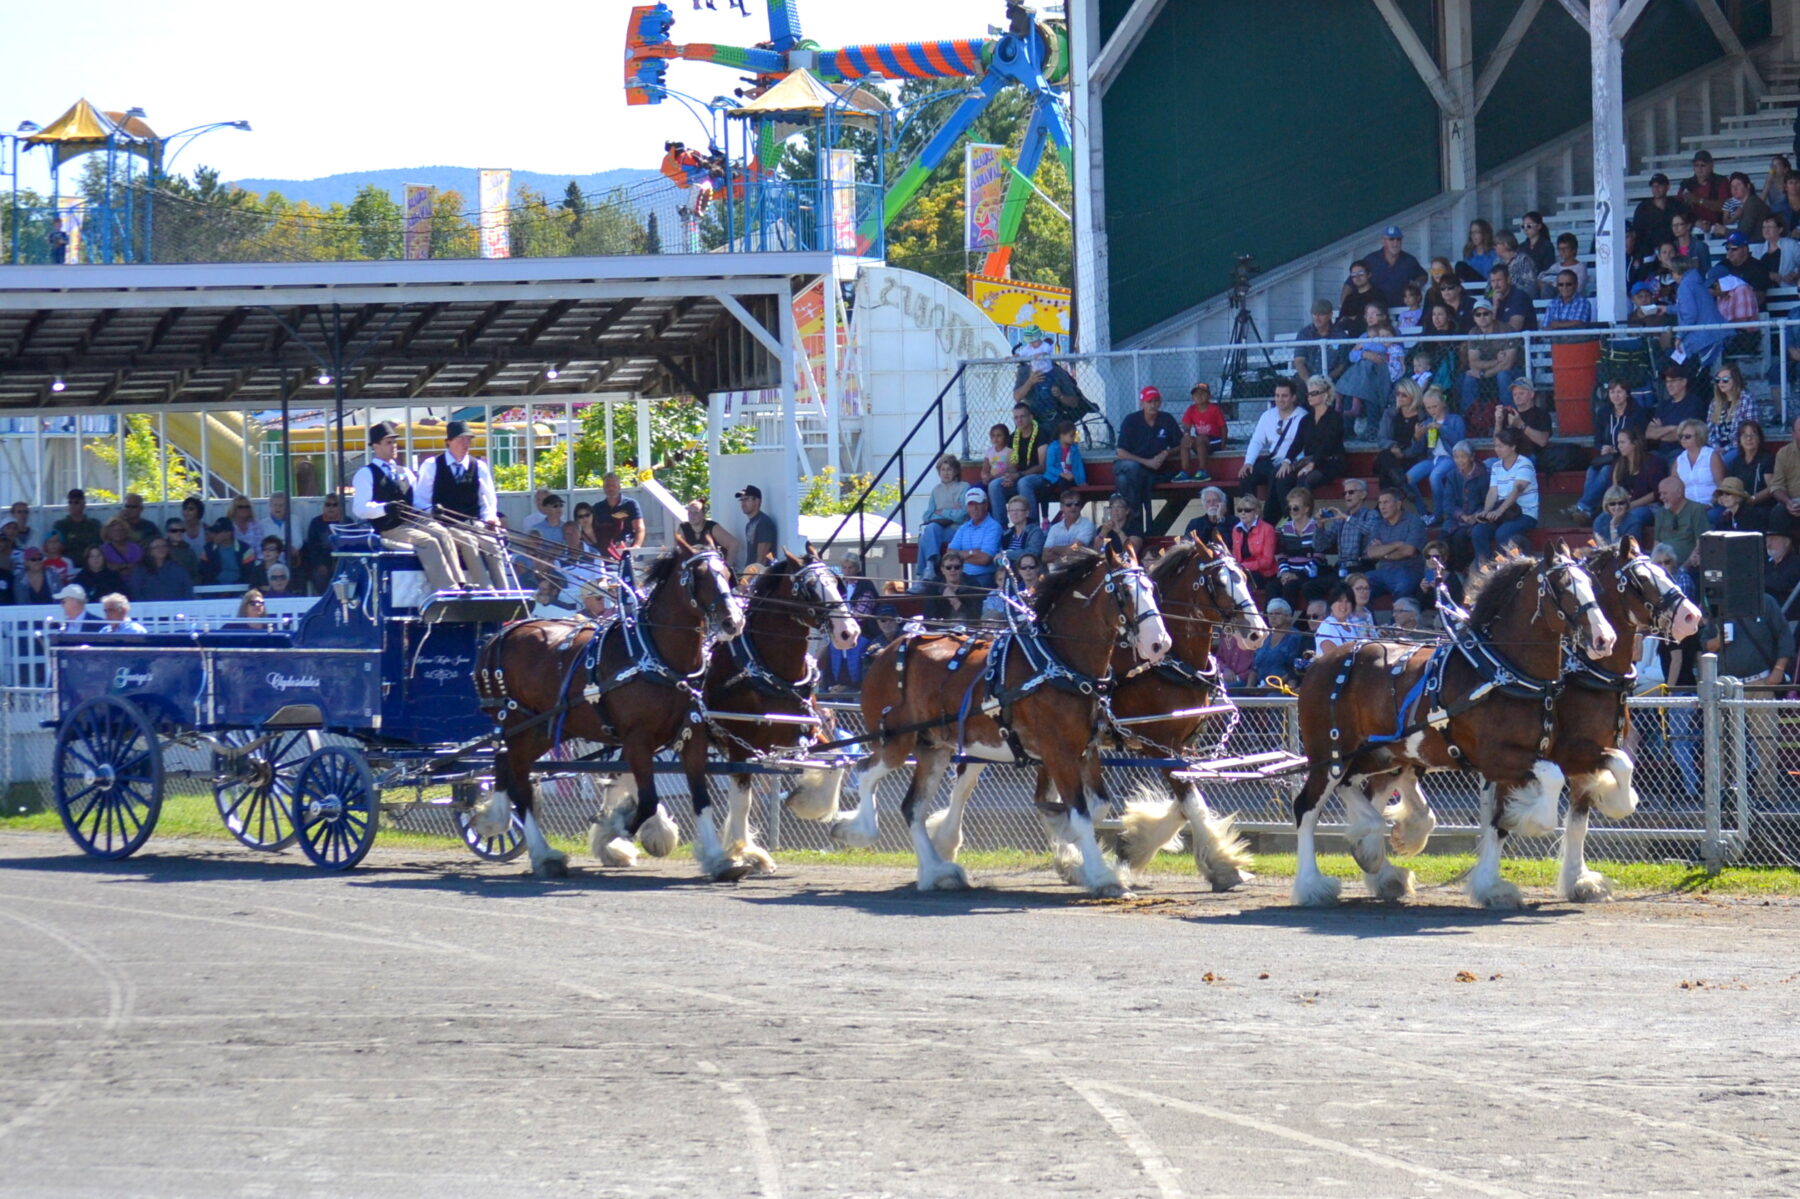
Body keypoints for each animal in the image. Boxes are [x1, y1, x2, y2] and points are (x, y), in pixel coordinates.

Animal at [475, 536, 741, 874]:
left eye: (728, 574)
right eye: (700, 576)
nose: (733, 621)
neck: (654, 653)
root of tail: (500, 635)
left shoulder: (692, 734)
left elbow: (701, 797)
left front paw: (718, 858)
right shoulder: (636, 740)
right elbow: (648, 799)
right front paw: (614, 832)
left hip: (541, 729)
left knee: (510, 770)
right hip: (516, 724)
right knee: (518, 783)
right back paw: (543, 854)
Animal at [813, 547, 1166, 892]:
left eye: (1151, 588)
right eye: (1124, 591)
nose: (1159, 644)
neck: (1057, 662)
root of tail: (887, 651)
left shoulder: (1086, 750)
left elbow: (1099, 807)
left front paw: (1071, 847)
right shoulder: (1058, 753)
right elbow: (1080, 814)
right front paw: (1102, 876)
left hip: (933, 748)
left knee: (912, 807)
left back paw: (936, 872)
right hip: (897, 741)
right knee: (865, 772)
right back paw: (858, 831)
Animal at [1296, 540, 1620, 907]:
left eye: (1592, 584)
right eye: (1563, 587)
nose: (1605, 639)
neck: (1502, 670)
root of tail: (1318, 661)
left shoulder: (1541, 752)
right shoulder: (1496, 758)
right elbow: (1550, 780)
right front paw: (1532, 821)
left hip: (1377, 754)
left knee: (1355, 788)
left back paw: (1378, 857)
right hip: (1330, 754)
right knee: (1306, 808)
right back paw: (1313, 885)